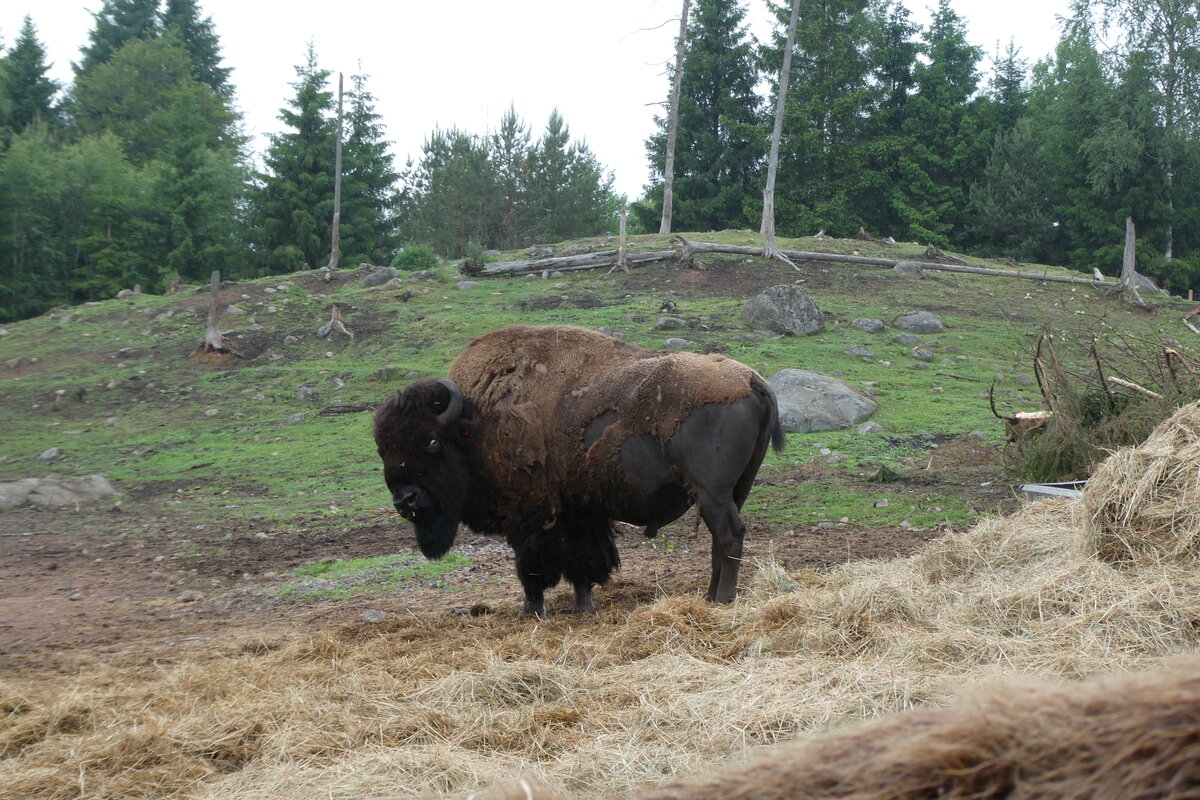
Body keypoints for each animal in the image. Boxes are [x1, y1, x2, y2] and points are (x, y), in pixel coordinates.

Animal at [374, 325, 784, 616]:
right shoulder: (577, 511)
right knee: (722, 539)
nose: (405, 500)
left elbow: (533, 567)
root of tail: (752, 379)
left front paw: (531, 610)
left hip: (711, 492)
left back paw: (723, 599)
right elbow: (583, 563)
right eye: (383, 447)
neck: (475, 423)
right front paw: (582, 605)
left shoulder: (529, 516)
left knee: (729, 535)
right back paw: (710, 596)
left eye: (431, 442)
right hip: (734, 490)